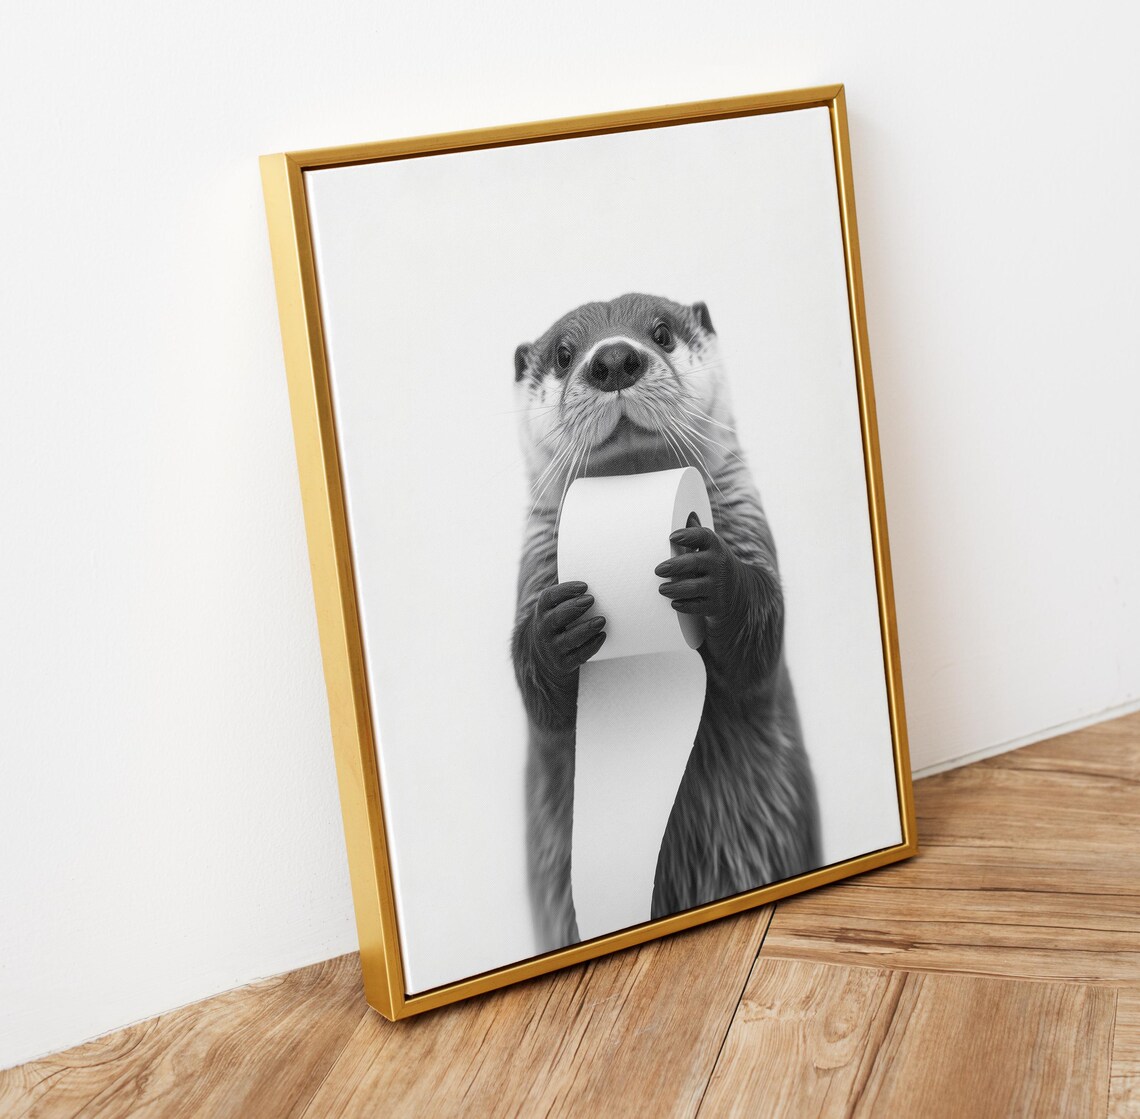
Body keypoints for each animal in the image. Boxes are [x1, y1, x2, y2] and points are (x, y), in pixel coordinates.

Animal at [511, 293, 820, 951]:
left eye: (660, 333)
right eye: (564, 354)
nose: (613, 360)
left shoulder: (749, 524)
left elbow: (760, 640)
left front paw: (712, 575)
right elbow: (542, 704)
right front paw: (556, 630)